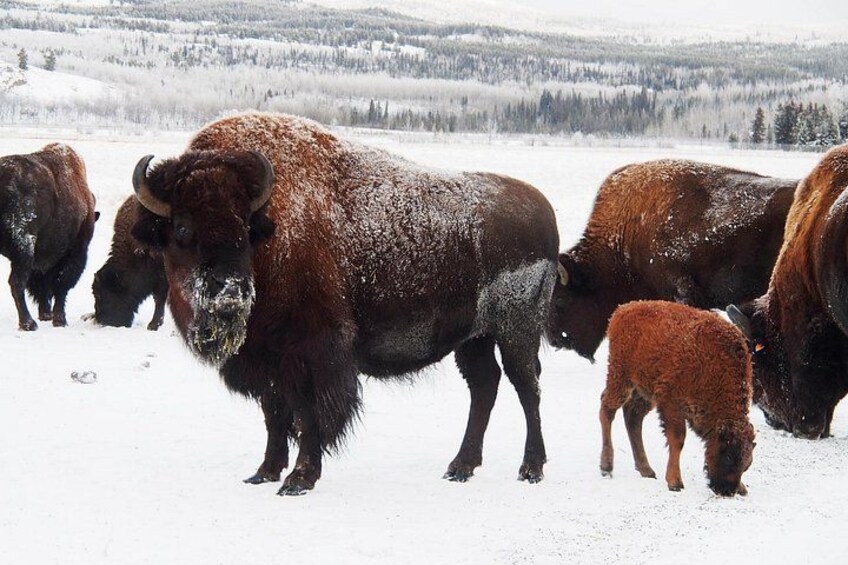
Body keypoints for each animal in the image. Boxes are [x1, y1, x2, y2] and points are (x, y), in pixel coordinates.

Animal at [0, 143, 97, 330]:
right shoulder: (74, 253)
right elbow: (61, 285)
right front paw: (60, 320)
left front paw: (46, 314)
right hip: (25, 246)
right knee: (16, 282)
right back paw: (28, 323)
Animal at [129, 112, 560, 495]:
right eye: (182, 229)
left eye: (245, 229)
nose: (230, 291)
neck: (272, 229)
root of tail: (543, 210)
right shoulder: (266, 360)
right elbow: (274, 414)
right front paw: (264, 472)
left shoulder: (311, 353)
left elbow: (308, 415)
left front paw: (299, 479)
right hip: (474, 338)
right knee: (485, 386)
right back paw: (460, 467)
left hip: (516, 330)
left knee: (527, 386)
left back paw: (531, 469)